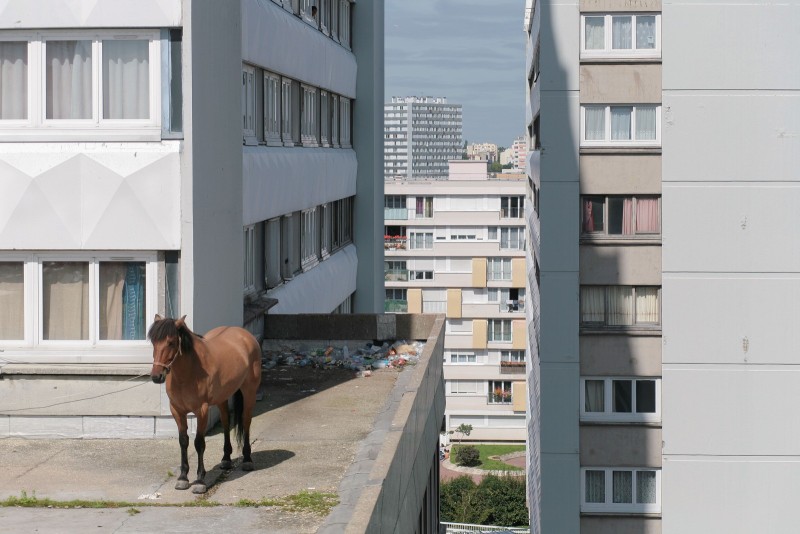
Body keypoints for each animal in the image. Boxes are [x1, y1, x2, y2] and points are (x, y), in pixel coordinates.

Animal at [148, 316, 262, 496]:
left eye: (171, 342)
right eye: (153, 341)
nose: (156, 376)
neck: (189, 372)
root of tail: (244, 334)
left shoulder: (201, 411)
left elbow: (199, 443)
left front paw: (200, 481)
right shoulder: (177, 411)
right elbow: (183, 441)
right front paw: (183, 478)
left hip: (249, 391)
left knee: (246, 421)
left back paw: (247, 459)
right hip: (223, 397)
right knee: (225, 422)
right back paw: (226, 459)